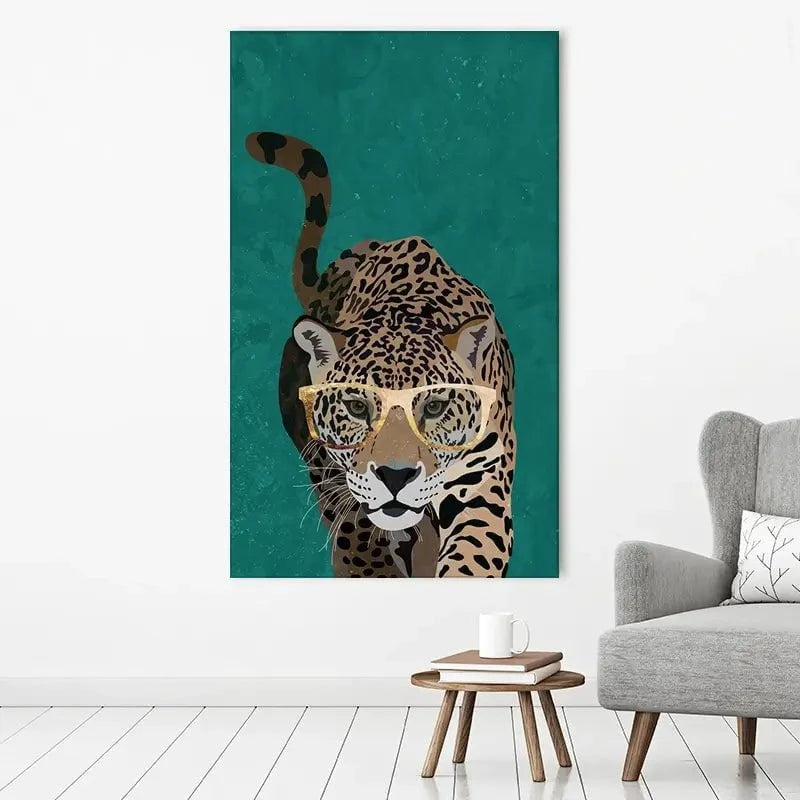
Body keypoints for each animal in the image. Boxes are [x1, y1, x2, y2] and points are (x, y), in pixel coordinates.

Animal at [245, 131, 517, 577]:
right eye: (357, 407)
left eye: (435, 406)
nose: (395, 476)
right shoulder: (345, 492)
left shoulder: (482, 482)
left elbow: (472, 557)